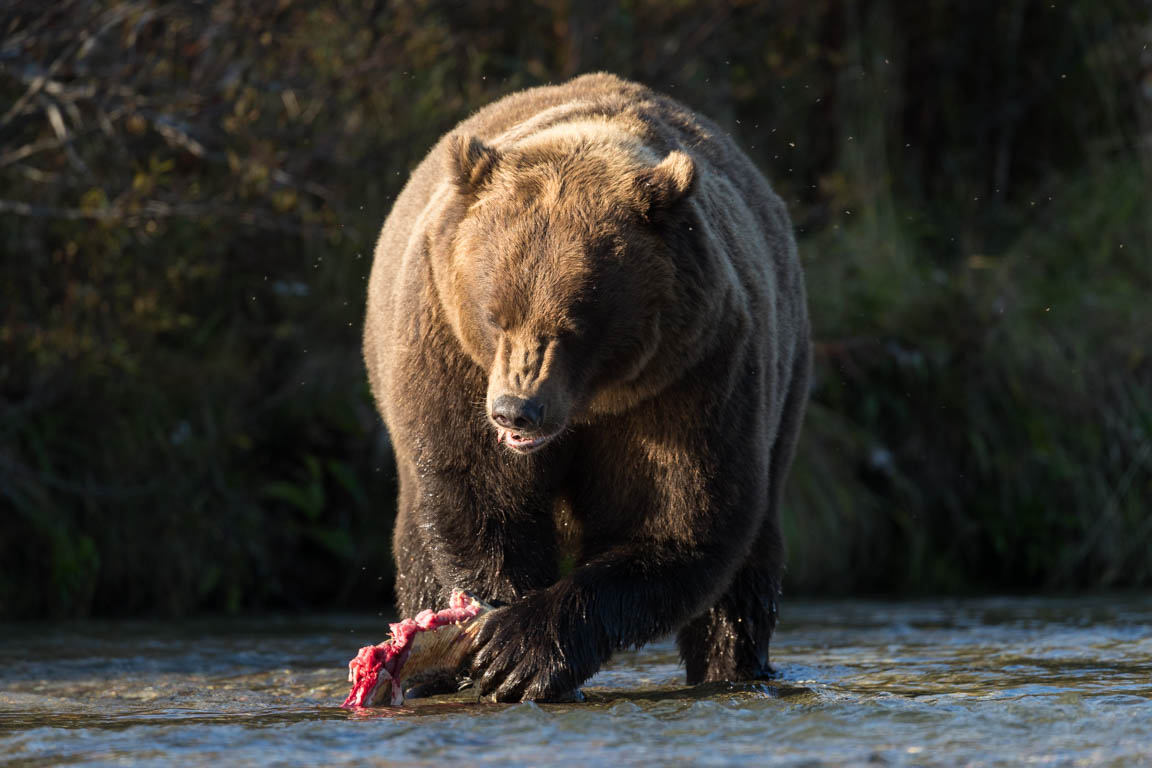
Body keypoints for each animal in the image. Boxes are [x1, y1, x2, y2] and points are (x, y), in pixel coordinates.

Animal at [361, 71, 811, 704]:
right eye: (496, 315)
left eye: (574, 324)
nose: (516, 411)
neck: (591, 403)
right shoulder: (450, 353)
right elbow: (478, 497)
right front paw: (489, 631)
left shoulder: (687, 379)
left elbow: (676, 522)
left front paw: (519, 650)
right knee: (419, 548)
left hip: (784, 388)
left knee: (747, 573)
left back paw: (735, 666)